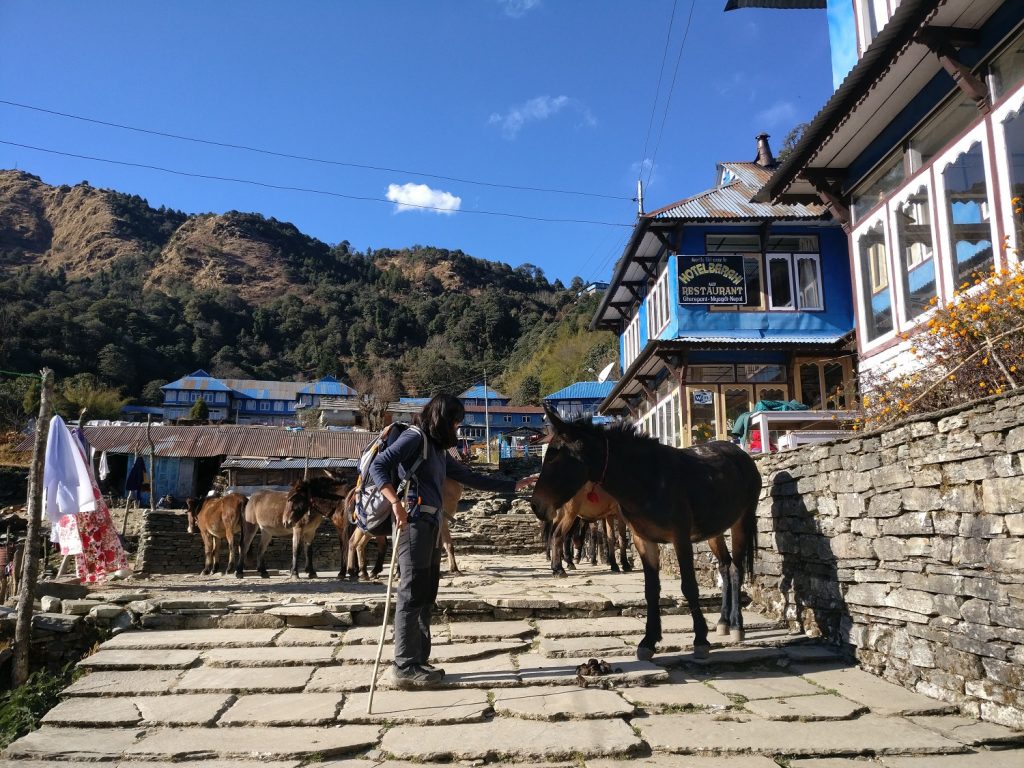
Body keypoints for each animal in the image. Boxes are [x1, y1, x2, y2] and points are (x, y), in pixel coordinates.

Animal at [528, 405, 761, 663]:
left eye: (553, 455)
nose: (536, 505)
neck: (648, 479)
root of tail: (738, 452)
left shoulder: (680, 539)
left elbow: (689, 586)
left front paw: (700, 639)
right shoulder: (643, 540)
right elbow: (650, 590)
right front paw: (649, 641)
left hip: (741, 522)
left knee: (736, 569)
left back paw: (737, 625)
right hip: (714, 531)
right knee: (724, 567)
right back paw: (723, 622)